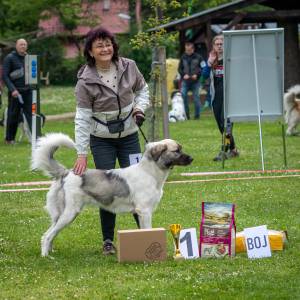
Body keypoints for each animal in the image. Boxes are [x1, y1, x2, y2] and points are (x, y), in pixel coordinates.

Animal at [32, 132, 192, 256]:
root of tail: (66, 172)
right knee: (48, 236)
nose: (191, 158)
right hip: (70, 213)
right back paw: (46, 256)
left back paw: (50, 251)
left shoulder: (142, 212)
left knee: (48, 233)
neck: (149, 172)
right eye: (176, 150)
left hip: (60, 215)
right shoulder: (144, 211)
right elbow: (148, 229)